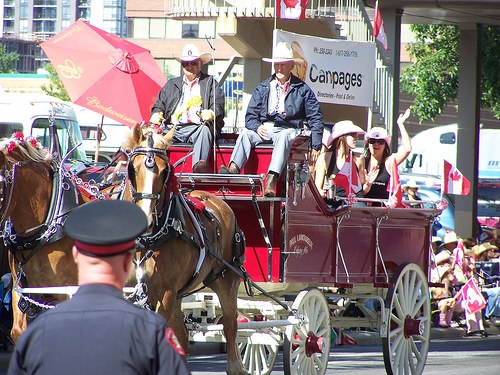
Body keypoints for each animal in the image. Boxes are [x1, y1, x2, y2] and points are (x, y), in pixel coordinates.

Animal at [123, 125, 248, 375]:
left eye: (165, 171)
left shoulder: (165, 292)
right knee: (181, 336)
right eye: (133, 168)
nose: (146, 219)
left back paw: (235, 365)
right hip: (179, 293)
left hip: (226, 281)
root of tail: (218, 200)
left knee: (230, 327)